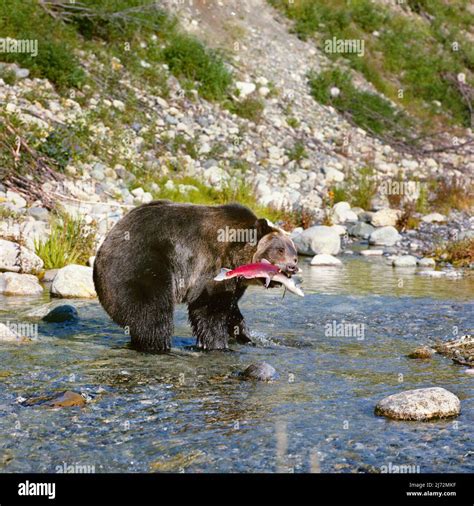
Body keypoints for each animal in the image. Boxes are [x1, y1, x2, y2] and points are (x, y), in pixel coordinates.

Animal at [94, 201, 298, 352]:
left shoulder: (234, 283)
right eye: (280, 250)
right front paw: (217, 344)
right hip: (141, 266)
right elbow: (209, 309)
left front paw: (247, 336)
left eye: (294, 254)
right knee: (152, 313)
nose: (293, 267)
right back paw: (158, 344)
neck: (237, 255)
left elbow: (232, 311)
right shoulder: (212, 266)